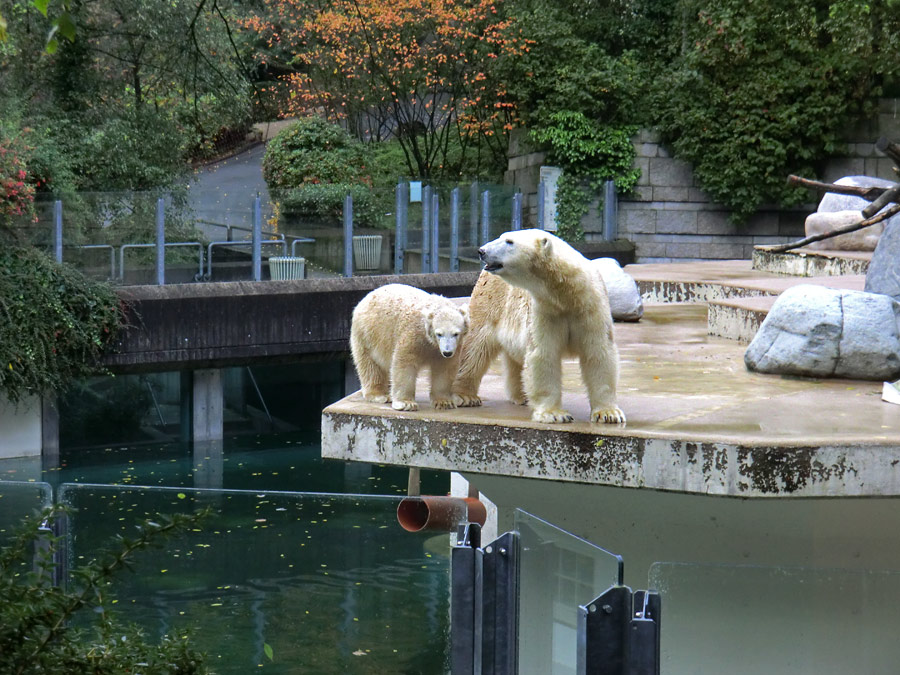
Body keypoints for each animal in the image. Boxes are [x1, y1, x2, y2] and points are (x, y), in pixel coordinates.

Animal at [348, 284, 468, 412]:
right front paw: (406, 403)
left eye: (456, 334)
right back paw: (380, 395)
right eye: (439, 334)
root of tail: (366, 298)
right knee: (370, 366)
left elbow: (444, 369)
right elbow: (404, 364)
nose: (447, 352)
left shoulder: (446, 349)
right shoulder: (413, 336)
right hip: (367, 335)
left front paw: (444, 402)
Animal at [450, 230, 624, 426]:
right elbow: (543, 355)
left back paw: (521, 396)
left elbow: (598, 353)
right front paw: (554, 414)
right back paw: (464, 396)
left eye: (509, 241)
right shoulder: (545, 311)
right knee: (475, 348)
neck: (567, 295)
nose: (482, 251)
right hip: (489, 303)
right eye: (502, 237)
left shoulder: (591, 308)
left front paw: (608, 414)